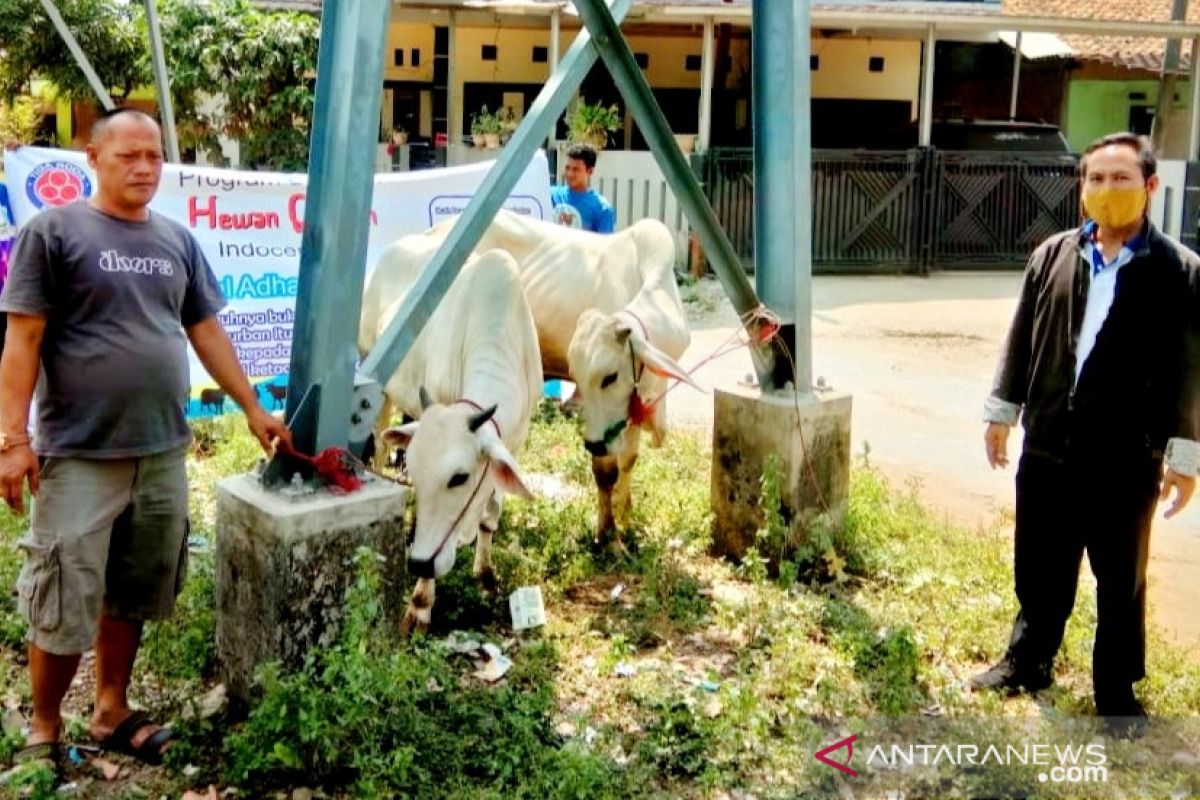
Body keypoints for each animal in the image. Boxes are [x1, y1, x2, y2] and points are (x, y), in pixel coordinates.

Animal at [357, 247, 542, 633]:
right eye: (418, 473)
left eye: (459, 477)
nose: (419, 564)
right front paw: (420, 605)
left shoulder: (511, 443)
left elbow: (491, 512)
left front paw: (485, 574)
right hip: (376, 381)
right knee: (380, 446)